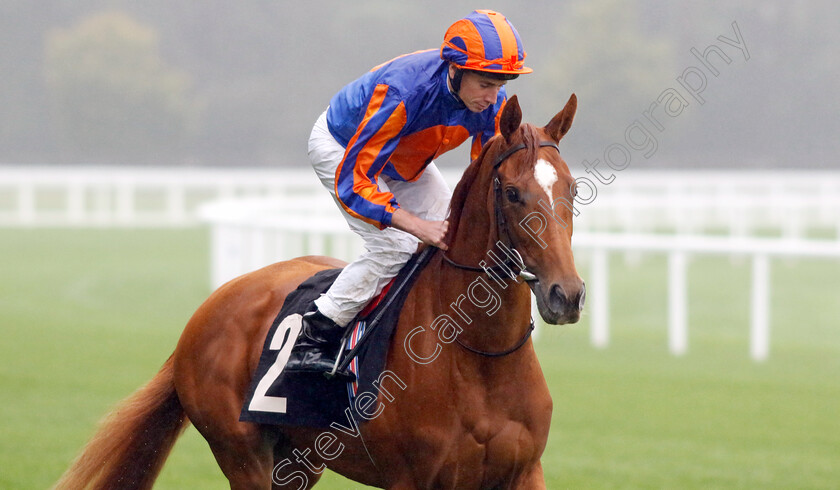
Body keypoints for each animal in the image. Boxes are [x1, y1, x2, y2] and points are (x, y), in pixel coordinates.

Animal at [54, 94, 584, 488]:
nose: (568, 294)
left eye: (574, 190)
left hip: (299, 457)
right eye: (512, 193)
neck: (479, 355)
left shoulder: (523, 472)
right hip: (242, 453)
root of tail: (210, 306)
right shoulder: (412, 478)